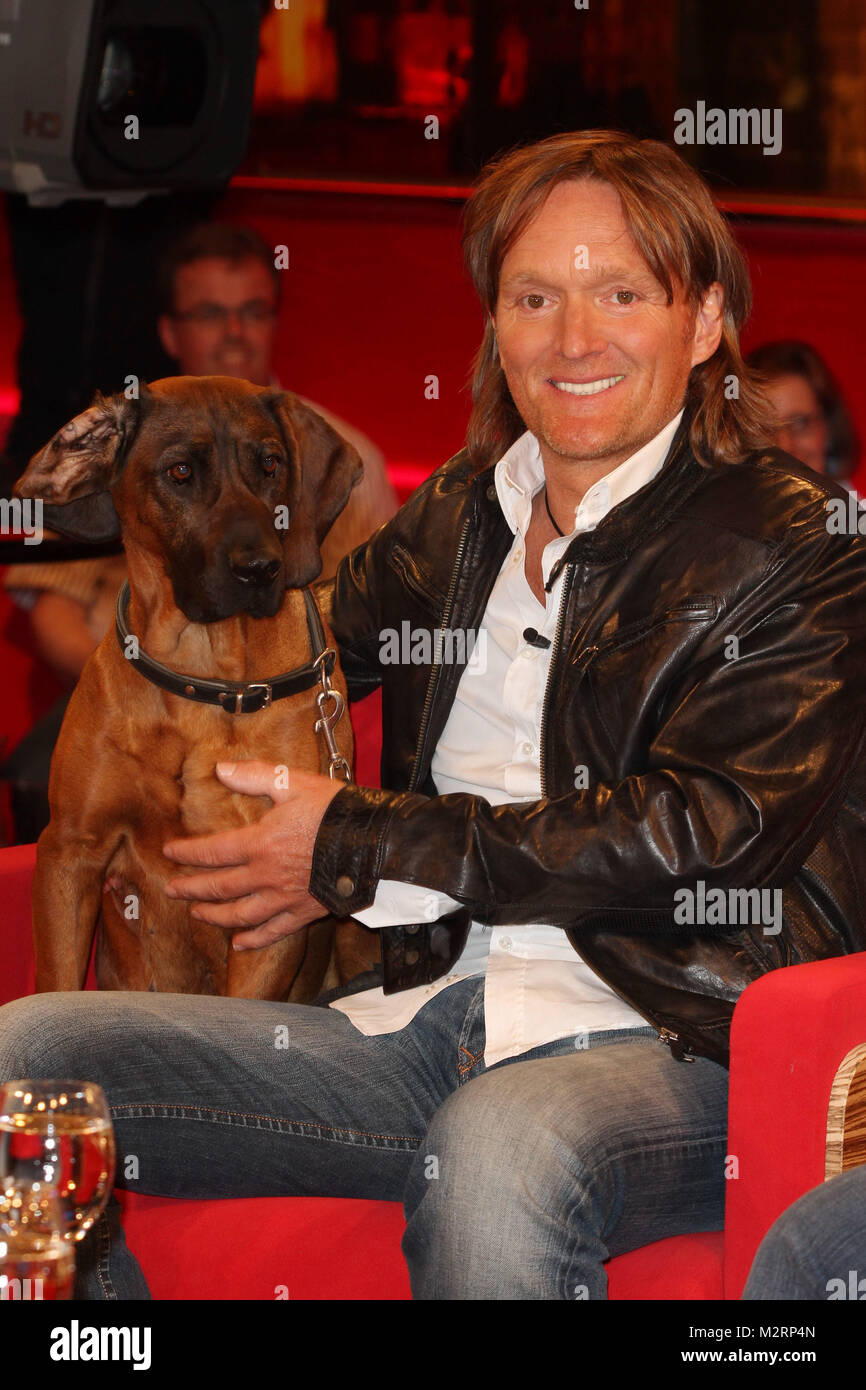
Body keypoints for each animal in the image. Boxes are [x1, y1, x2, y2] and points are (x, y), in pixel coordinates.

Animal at [12, 375, 378, 995]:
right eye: (180, 471)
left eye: (271, 463)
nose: (260, 568)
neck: (202, 673)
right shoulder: (70, 850)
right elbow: (56, 983)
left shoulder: (269, 886)